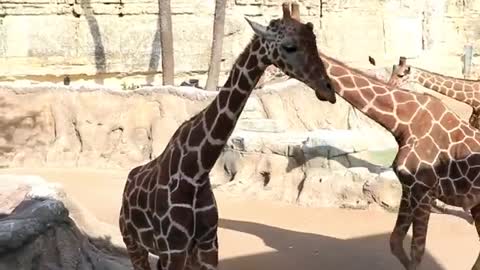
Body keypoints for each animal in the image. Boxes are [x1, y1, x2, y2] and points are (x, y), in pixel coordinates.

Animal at [117, 3, 336, 270]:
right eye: (289, 46)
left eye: (314, 42)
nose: (328, 90)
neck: (196, 173)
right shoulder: (173, 248)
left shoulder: (208, 246)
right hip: (133, 244)